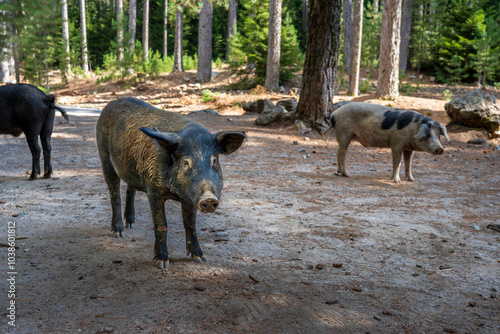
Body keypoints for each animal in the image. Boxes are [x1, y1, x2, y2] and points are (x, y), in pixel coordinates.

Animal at [96, 98, 246, 270]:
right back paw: (119, 233)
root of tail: (111, 103)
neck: (176, 193)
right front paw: (162, 263)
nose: (209, 198)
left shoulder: (190, 198)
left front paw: (200, 258)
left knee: (130, 189)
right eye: (186, 162)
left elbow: (190, 224)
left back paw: (131, 224)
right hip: (104, 158)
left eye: (214, 160)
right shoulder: (153, 190)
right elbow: (162, 224)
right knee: (114, 194)